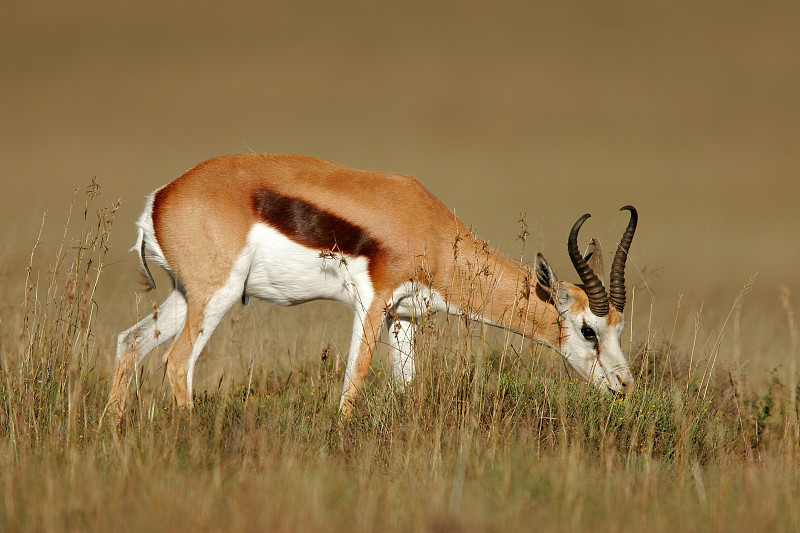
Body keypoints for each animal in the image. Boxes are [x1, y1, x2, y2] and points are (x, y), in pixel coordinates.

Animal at [103, 154, 636, 420]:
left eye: (619, 326)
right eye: (588, 330)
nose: (624, 386)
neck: (430, 228)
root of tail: (160, 199)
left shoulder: (403, 317)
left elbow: (405, 386)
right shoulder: (373, 302)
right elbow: (354, 379)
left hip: (186, 295)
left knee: (129, 342)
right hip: (216, 296)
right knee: (177, 362)